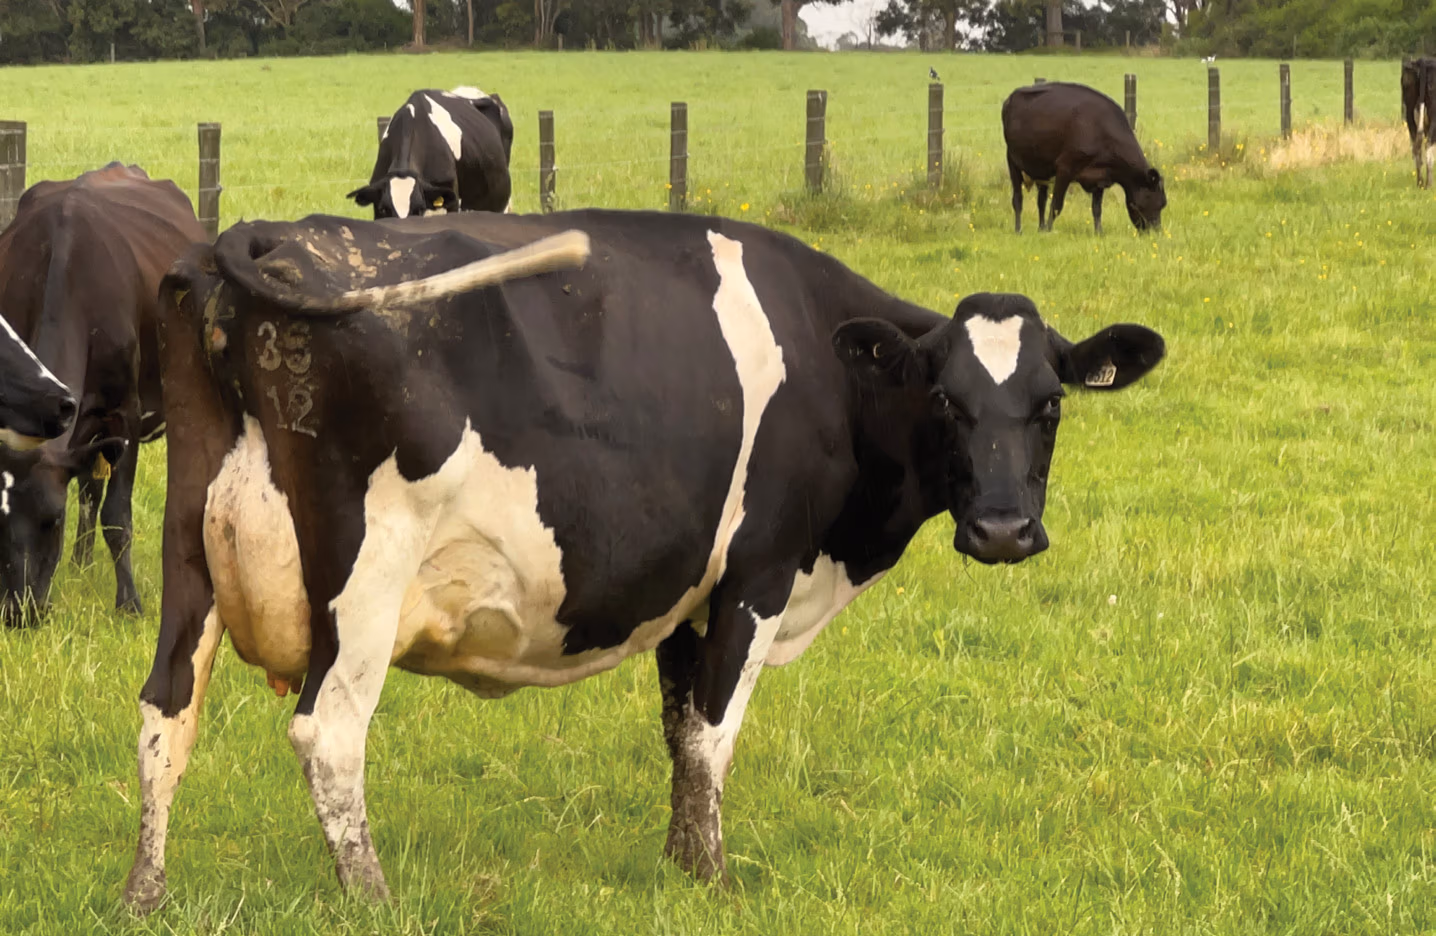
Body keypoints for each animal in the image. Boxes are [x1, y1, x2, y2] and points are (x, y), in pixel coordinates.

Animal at [0, 163, 206, 625]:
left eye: (52, 520)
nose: (18, 613)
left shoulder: (123, 414)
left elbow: (117, 515)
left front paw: (129, 603)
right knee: (89, 486)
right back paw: (81, 562)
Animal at [122, 209, 1165, 912]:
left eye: (1050, 406)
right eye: (946, 399)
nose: (1003, 529)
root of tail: (258, 235)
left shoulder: (687, 597)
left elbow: (678, 733)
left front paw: (677, 865)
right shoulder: (755, 574)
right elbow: (712, 736)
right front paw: (713, 881)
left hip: (186, 551)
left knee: (165, 711)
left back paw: (146, 895)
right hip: (367, 575)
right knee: (329, 735)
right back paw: (374, 901)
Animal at [1002, 81, 1166, 234]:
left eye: (1164, 204)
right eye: (1158, 202)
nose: (1155, 232)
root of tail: (1010, 97)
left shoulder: (1100, 176)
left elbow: (1097, 209)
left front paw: (1099, 233)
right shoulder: (1065, 168)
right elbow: (1056, 205)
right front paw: (1049, 231)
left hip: (1041, 170)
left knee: (1041, 200)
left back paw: (1040, 228)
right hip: (1012, 160)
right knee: (1017, 199)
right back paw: (1019, 230)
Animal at [1402, 57, 1436, 188]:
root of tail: (1423, 61)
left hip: (1409, 114)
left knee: (1416, 145)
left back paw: (1420, 182)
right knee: (1428, 144)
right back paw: (1428, 184)